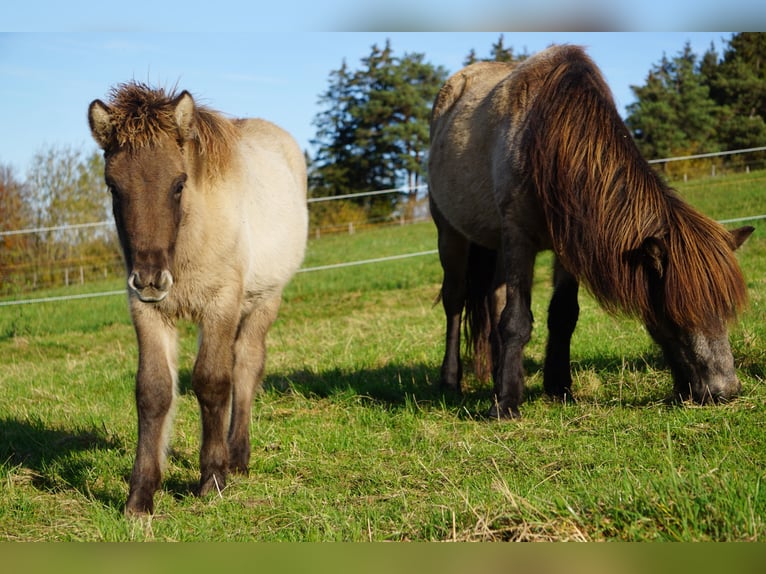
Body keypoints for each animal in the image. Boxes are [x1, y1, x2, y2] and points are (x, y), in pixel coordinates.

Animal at [88, 82, 308, 516]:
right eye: (113, 187)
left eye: (178, 183)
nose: (150, 280)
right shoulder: (146, 311)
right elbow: (153, 391)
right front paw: (140, 496)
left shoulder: (220, 304)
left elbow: (212, 382)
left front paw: (213, 478)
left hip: (264, 299)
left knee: (247, 365)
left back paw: (237, 456)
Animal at [428, 45, 752, 420]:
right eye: (677, 315)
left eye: (726, 310)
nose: (725, 390)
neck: (546, 139)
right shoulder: (519, 237)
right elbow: (517, 320)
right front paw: (507, 403)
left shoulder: (567, 249)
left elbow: (563, 315)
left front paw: (558, 387)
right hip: (451, 235)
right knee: (454, 301)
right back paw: (451, 380)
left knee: (492, 303)